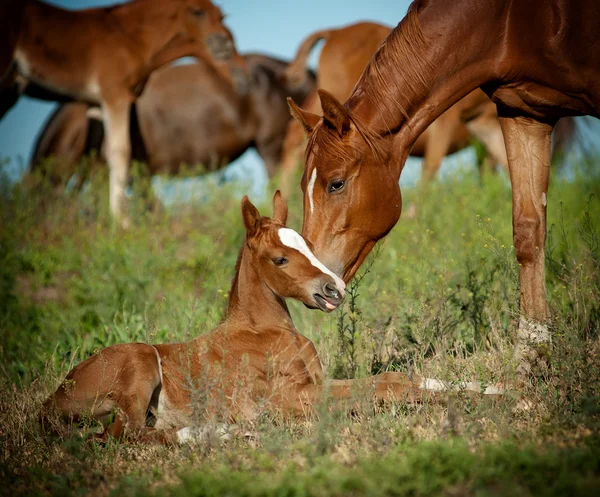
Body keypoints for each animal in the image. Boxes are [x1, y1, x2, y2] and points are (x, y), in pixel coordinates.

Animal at [2, 0, 246, 227]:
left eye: (222, 17)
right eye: (197, 12)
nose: (242, 73)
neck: (131, 38)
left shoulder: (96, 104)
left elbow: (94, 157)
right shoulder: (115, 95)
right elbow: (120, 152)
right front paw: (122, 221)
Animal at [43, 192, 502, 444]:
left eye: (309, 244)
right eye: (280, 258)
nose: (334, 288)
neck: (261, 331)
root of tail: (51, 402)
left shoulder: (317, 383)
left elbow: (398, 378)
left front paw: (493, 388)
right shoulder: (287, 398)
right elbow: (387, 388)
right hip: (138, 365)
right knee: (126, 436)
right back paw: (222, 433)